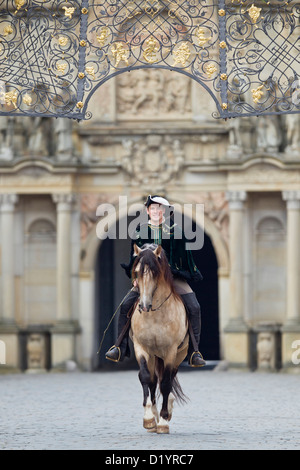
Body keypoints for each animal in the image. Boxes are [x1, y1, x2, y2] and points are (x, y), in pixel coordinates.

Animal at [129, 244, 190, 436]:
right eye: (137, 272)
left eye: (155, 273)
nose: (144, 305)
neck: (155, 315)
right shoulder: (141, 347)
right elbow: (145, 377)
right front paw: (149, 418)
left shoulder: (170, 351)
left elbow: (166, 383)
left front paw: (163, 420)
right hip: (154, 356)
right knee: (153, 380)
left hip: (178, 354)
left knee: (168, 379)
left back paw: (166, 410)